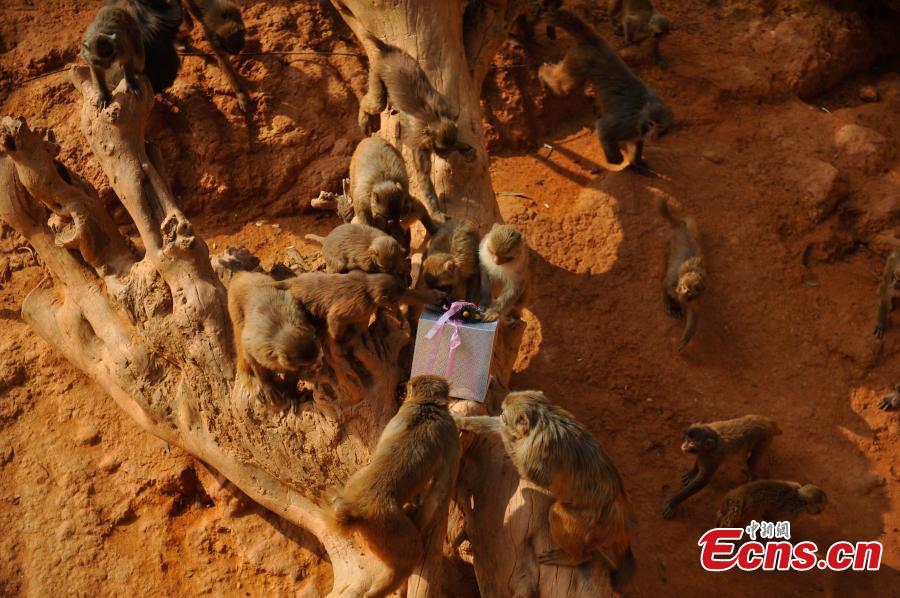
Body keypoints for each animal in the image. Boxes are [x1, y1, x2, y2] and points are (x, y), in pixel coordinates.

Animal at [326, 375, 460, 598]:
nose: (401, 386)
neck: (425, 405)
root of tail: (356, 507)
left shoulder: (398, 417)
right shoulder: (450, 430)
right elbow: (441, 488)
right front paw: (421, 521)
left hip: (360, 494)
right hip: (387, 526)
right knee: (409, 557)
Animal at [358, 35, 477, 215]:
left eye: (447, 150)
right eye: (442, 149)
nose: (445, 155)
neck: (435, 120)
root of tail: (388, 51)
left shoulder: (450, 115)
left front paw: (463, 147)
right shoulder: (421, 146)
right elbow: (423, 176)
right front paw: (436, 212)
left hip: (407, 58)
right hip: (377, 72)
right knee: (377, 103)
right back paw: (363, 116)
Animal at [455, 390, 634, 592]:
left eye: (504, 412)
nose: (501, 416)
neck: (542, 420)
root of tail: (620, 515)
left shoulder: (538, 450)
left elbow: (533, 474)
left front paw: (505, 432)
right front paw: (461, 421)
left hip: (592, 521)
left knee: (557, 513)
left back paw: (575, 557)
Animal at [538, 10, 673, 176]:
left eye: (659, 126)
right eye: (651, 124)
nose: (653, 135)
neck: (642, 116)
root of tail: (595, 41)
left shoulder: (638, 131)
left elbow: (636, 142)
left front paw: (637, 164)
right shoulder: (628, 124)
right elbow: (604, 127)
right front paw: (616, 159)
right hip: (580, 60)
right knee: (565, 88)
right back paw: (542, 73)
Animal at [657, 197, 706, 349]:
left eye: (689, 292)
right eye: (683, 287)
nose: (683, 294)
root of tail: (680, 228)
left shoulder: (698, 297)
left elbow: (694, 313)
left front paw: (685, 339)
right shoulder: (674, 284)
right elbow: (666, 286)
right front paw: (671, 304)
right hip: (667, 243)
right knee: (665, 271)